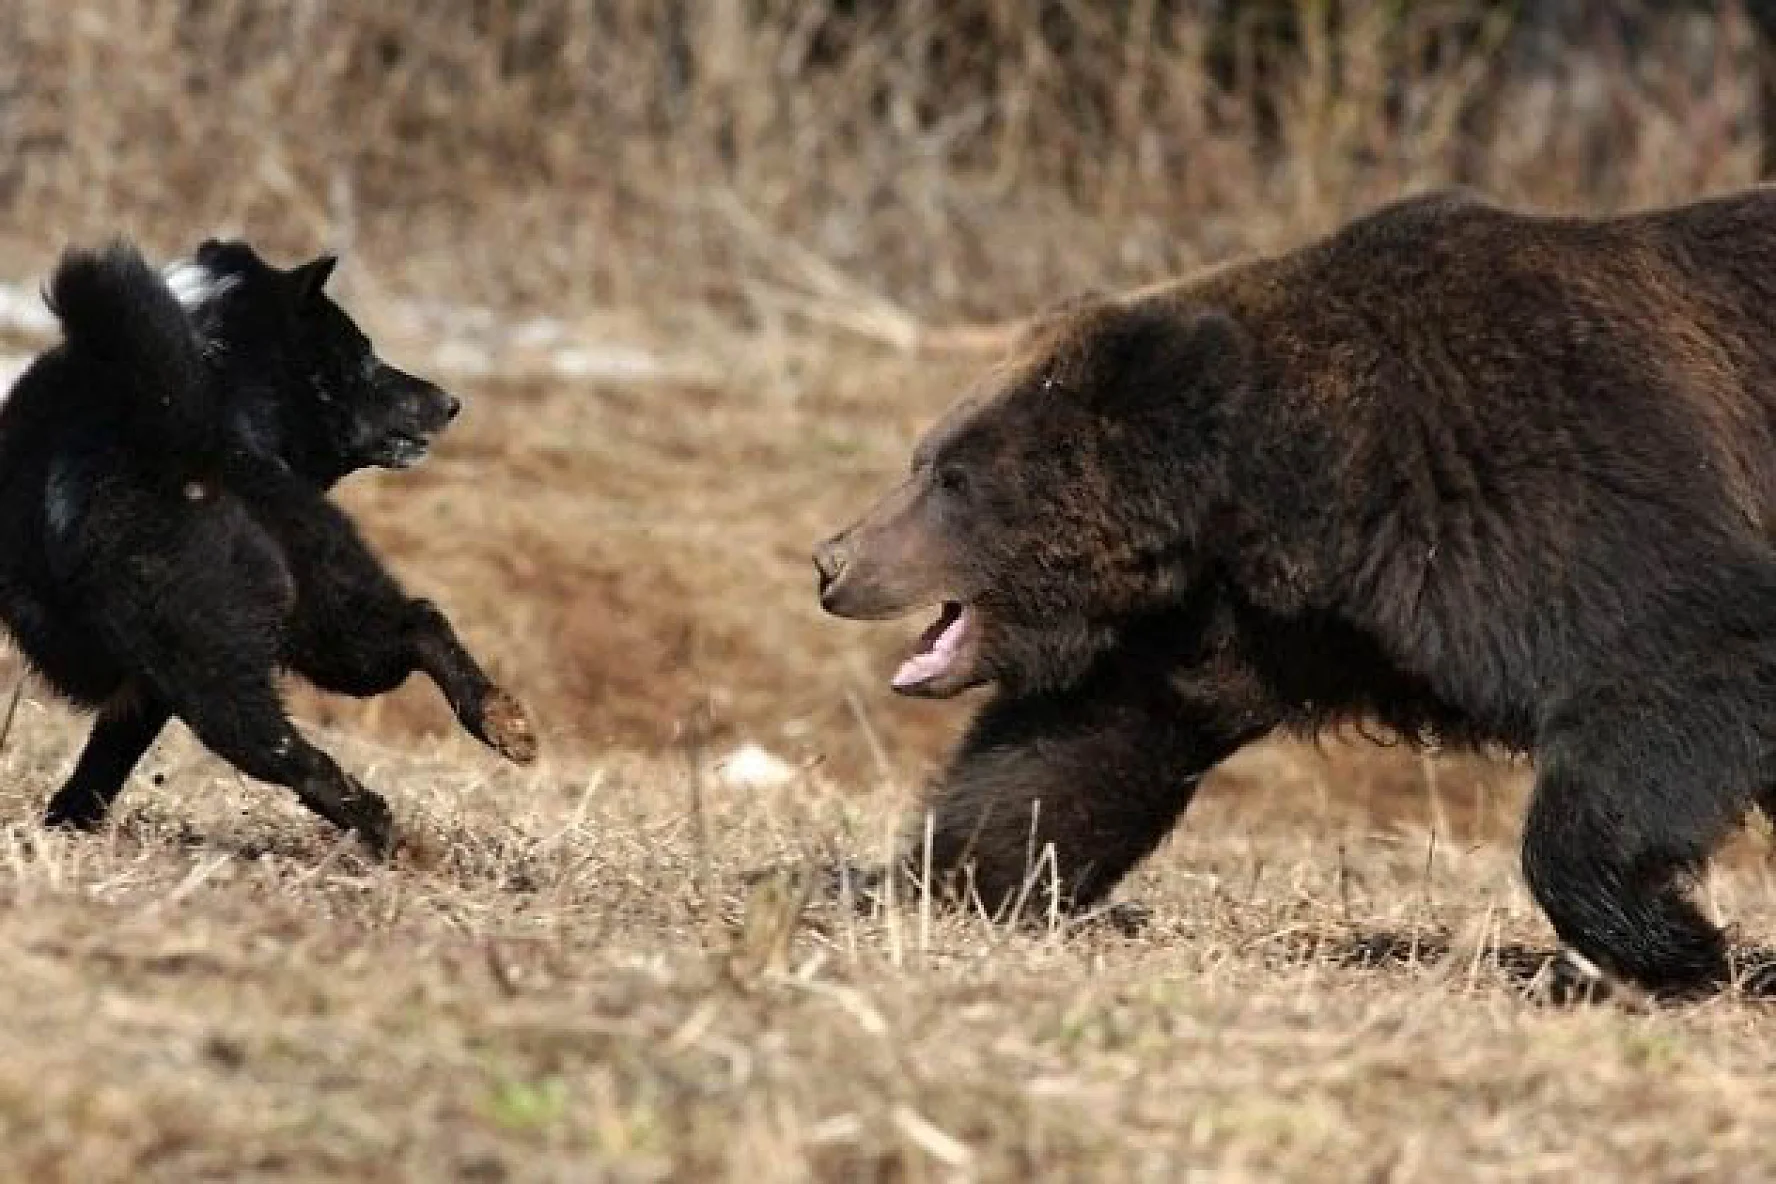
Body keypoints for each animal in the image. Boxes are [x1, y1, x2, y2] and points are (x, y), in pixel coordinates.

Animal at [0, 241, 532, 852]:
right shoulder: (143, 685)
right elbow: (106, 757)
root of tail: (179, 437)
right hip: (298, 599)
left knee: (294, 740)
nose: (450, 403)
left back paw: (404, 828)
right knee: (401, 637)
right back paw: (480, 742)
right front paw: (67, 823)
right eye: (363, 356)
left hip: (218, 644)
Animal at [816, 187, 1776, 1001]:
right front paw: (921, 885)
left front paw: (1677, 943)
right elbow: (1069, 753)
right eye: (927, 457)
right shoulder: (1227, 627)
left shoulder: (1560, 479)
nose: (833, 560)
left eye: (953, 476)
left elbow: (1680, 665)